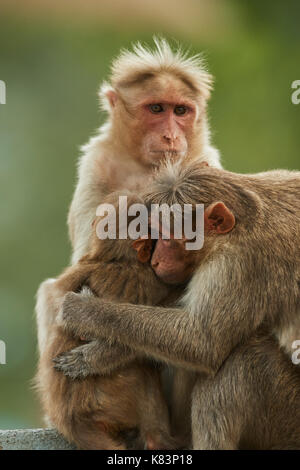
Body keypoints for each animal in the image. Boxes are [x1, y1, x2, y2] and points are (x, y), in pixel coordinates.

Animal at [36, 38, 221, 356]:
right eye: (157, 108)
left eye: (180, 111)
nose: (171, 136)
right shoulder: (95, 162)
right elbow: (87, 258)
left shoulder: (207, 162)